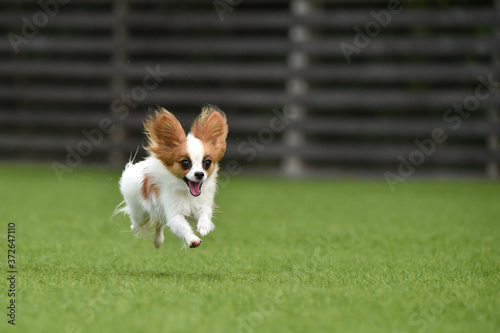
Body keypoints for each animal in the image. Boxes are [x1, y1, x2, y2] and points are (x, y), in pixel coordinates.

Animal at [118, 105, 228, 248]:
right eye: (185, 163)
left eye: (207, 162)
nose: (199, 174)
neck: (187, 192)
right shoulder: (174, 212)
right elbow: (182, 226)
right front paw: (192, 239)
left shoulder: (203, 203)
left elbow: (205, 213)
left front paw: (204, 226)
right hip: (139, 212)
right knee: (138, 224)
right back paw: (138, 229)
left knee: (159, 223)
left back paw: (158, 241)